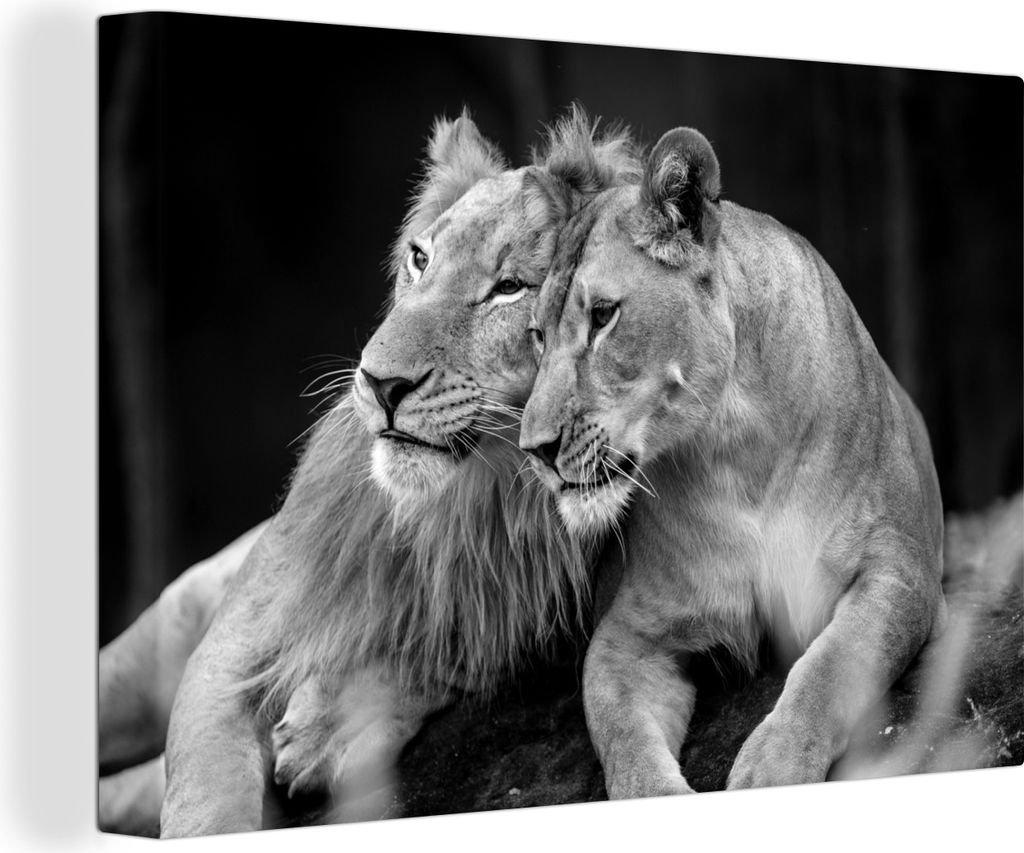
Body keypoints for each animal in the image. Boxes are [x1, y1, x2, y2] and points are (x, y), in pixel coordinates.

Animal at [153, 108, 639, 836]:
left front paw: (329, 726)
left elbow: (452, 649)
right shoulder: (225, 654)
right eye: (420, 259)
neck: (469, 501)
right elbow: (208, 805)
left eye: (510, 288)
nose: (380, 383)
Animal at [519, 126, 947, 797]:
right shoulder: (630, 634)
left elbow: (829, 667)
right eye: (537, 335)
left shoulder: (901, 571)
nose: (532, 449)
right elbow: (625, 744)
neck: (735, 447)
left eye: (603, 316)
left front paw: (772, 768)